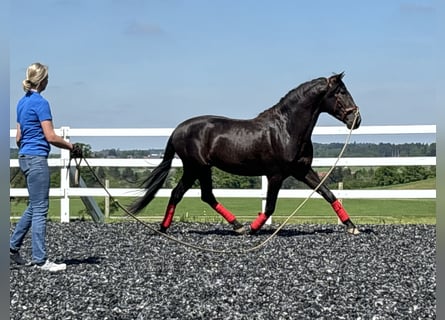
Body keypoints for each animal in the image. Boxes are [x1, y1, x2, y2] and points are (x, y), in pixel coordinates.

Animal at [128, 72, 360, 235]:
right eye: (340, 92)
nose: (356, 120)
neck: (286, 129)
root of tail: (178, 130)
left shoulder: (302, 170)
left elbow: (328, 194)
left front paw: (352, 226)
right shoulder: (276, 175)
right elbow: (270, 206)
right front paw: (254, 229)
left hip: (200, 169)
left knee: (201, 195)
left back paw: (233, 226)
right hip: (195, 167)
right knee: (183, 194)